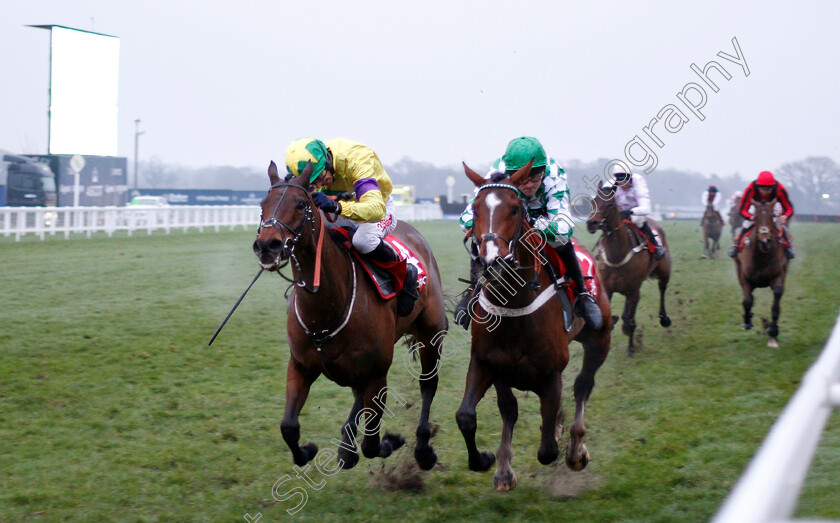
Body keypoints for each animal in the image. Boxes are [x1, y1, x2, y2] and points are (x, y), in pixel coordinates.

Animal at [253, 162, 450, 472]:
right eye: (263, 205)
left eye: (300, 204)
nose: (267, 246)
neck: (325, 310)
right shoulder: (300, 365)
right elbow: (288, 427)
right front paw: (308, 450)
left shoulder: (377, 373)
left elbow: (372, 443)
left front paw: (390, 441)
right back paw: (346, 446)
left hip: (430, 334)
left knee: (428, 384)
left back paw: (422, 450)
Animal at [456, 162, 612, 494]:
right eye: (474, 209)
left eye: (515, 209)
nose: (493, 262)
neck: (514, 308)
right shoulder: (488, 363)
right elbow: (474, 415)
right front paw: (494, 464)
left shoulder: (551, 373)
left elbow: (547, 449)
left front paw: (558, 439)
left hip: (599, 340)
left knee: (583, 385)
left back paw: (575, 448)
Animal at [588, 182, 672, 358]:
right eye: (593, 202)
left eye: (610, 204)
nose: (591, 223)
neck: (617, 255)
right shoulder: (608, 288)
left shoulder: (634, 290)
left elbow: (630, 319)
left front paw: (631, 348)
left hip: (664, 271)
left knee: (662, 288)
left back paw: (664, 318)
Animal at [732, 196, 792, 348]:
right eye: (757, 217)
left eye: (772, 216)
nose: (765, 240)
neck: (762, 255)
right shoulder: (744, 277)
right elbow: (747, 301)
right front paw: (747, 321)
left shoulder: (779, 275)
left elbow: (776, 303)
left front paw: (773, 333)